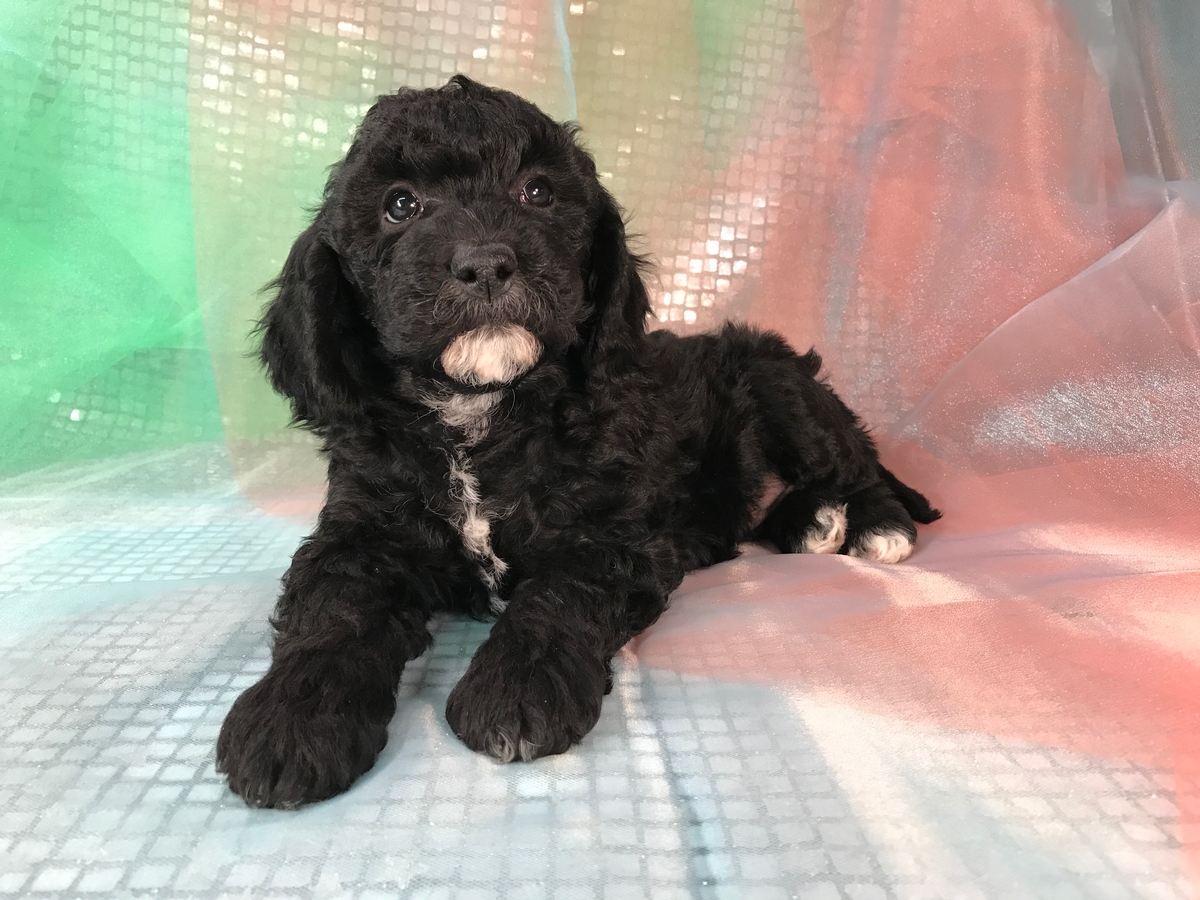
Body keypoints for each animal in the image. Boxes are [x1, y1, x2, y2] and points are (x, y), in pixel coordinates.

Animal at [220, 75, 940, 811]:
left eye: (537, 192)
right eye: (399, 205)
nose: (486, 263)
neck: (481, 407)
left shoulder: (606, 533)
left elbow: (559, 597)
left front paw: (516, 693)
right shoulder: (362, 533)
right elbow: (333, 611)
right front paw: (292, 721)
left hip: (779, 383)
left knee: (855, 463)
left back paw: (875, 525)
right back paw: (811, 523)